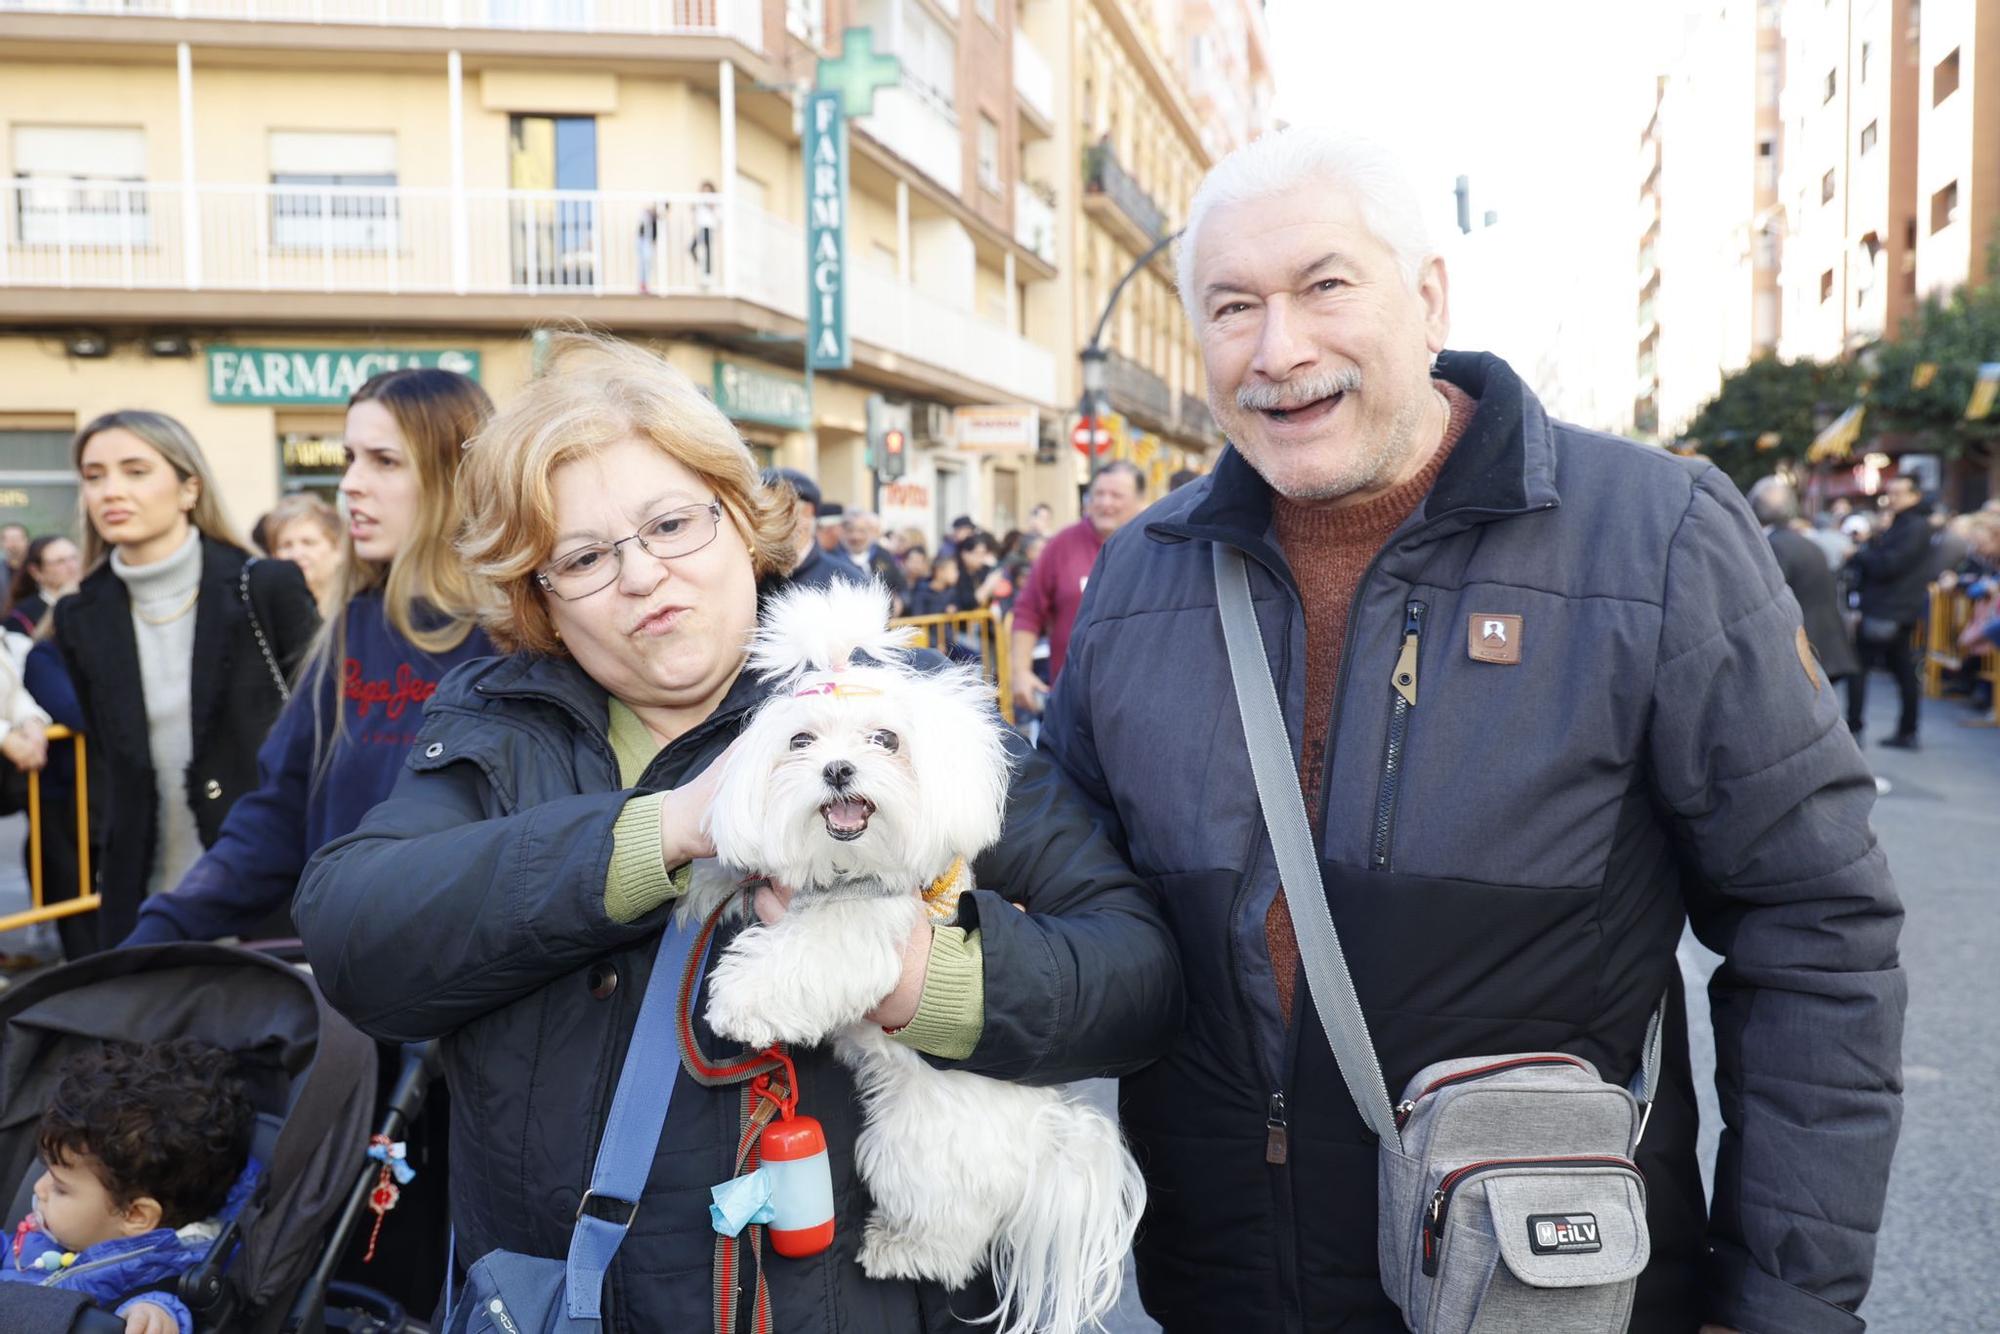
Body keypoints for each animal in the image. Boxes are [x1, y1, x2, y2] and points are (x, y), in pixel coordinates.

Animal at [684, 580, 1144, 1334]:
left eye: (885, 739)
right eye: (800, 740)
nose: (837, 769)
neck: (841, 869)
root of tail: (1045, 1138)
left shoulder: (871, 926)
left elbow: (808, 951)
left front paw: (742, 1003)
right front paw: (694, 878)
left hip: (913, 1145)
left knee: (953, 1236)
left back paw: (899, 1251)